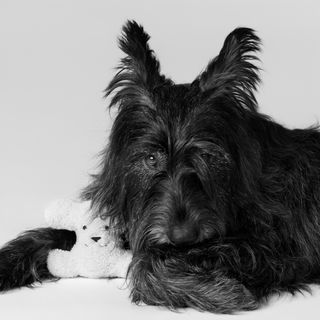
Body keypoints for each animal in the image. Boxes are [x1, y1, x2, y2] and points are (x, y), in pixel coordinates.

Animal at [0, 21, 320, 314]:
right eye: (151, 159)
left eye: (207, 157)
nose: (182, 237)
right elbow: (52, 234)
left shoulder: (279, 248)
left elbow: (146, 262)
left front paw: (217, 292)